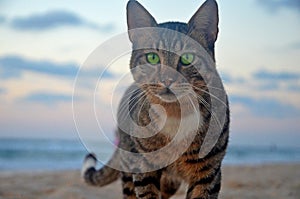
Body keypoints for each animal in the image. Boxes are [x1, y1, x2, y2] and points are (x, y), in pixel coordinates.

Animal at [81, 0, 229, 199]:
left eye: (187, 58)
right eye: (152, 57)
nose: (167, 80)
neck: (175, 114)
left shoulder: (208, 172)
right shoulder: (143, 169)